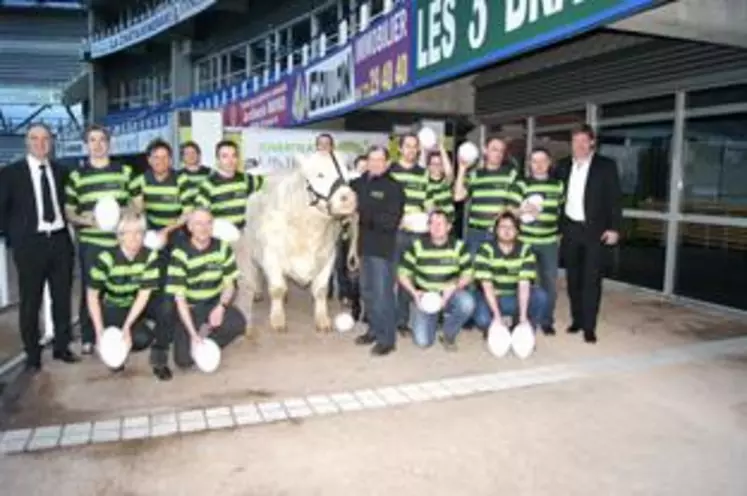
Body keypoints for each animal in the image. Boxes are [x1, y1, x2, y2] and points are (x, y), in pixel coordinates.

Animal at [237, 152, 360, 334]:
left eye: (347, 176)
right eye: (320, 174)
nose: (348, 198)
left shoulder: (329, 255)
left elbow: (321, 290)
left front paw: (322, 320)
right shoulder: (271, 255)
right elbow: (277, 289)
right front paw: (278, 319)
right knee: (253, 270)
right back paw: (256, 292)